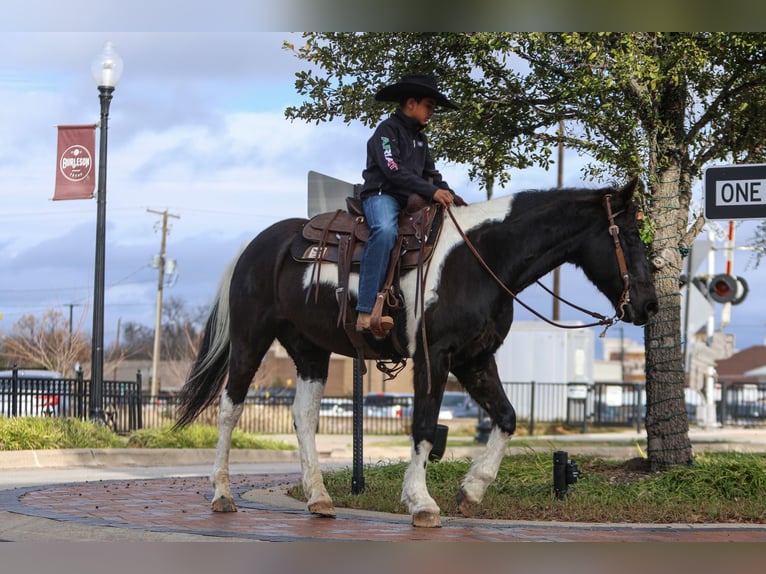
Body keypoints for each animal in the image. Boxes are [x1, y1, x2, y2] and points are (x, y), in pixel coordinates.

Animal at [176, 178, 660, 528]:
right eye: (630, 235)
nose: (649, 305)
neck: (481, 258)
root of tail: (257, 245)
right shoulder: (436, 355)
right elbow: (425, 426)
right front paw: (421, 502)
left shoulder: (475, 358)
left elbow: (506, 418)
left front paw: (472, 490)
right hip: (250, 340)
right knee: (230, 408)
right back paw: (222, 494)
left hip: (310, 351)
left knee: (304, 417)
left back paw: (319, 497)